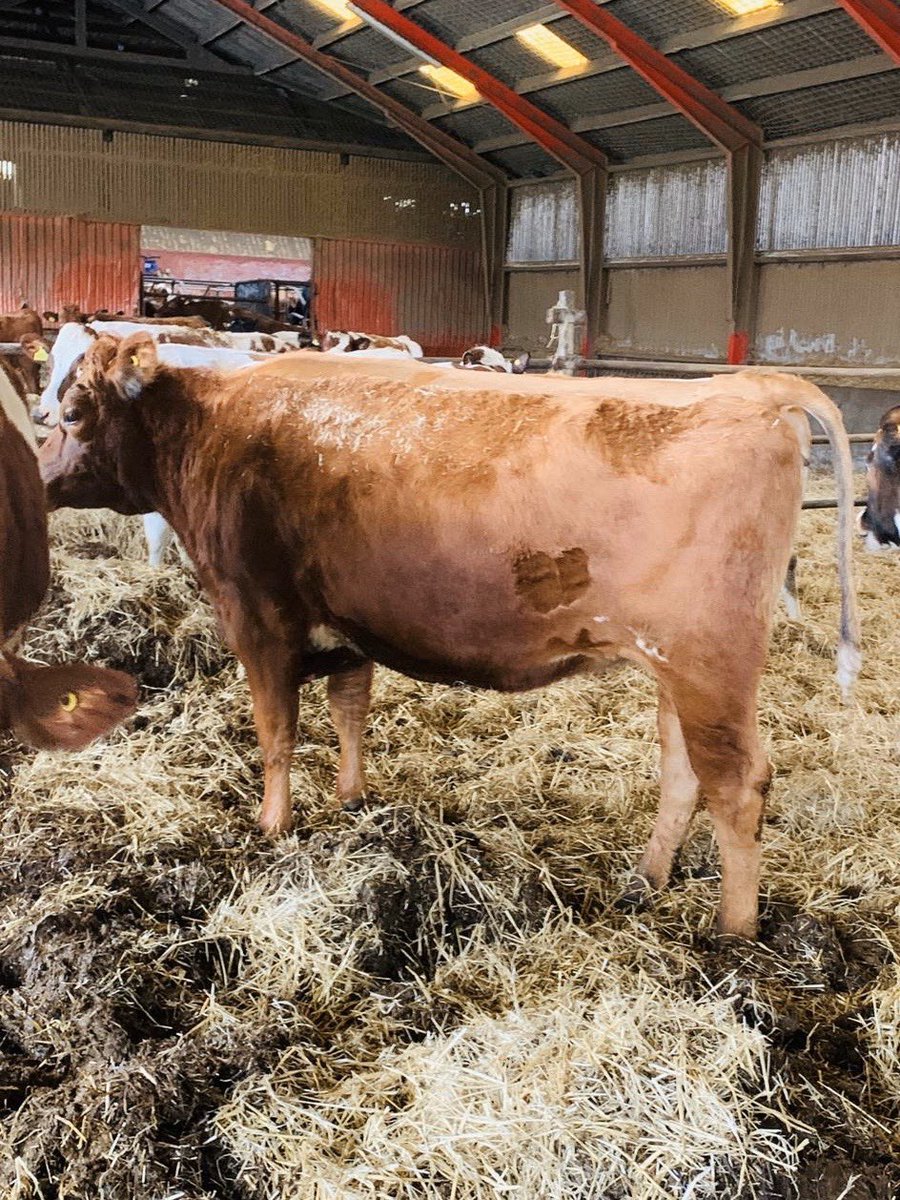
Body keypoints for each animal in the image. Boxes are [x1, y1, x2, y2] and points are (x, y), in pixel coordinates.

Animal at [39, 336, 860, 939]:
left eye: (73, 410)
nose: (38, 478)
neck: (214, 430)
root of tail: (753, 388)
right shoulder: (348, 624)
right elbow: (349, 710)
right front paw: (352, 801)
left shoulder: (257, 615)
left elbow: (276, 732)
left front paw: (273, 827)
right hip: (676, 672)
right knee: (684, 771)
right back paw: (646, 880)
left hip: (708, 665)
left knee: (737, 784)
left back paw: (734, 933)